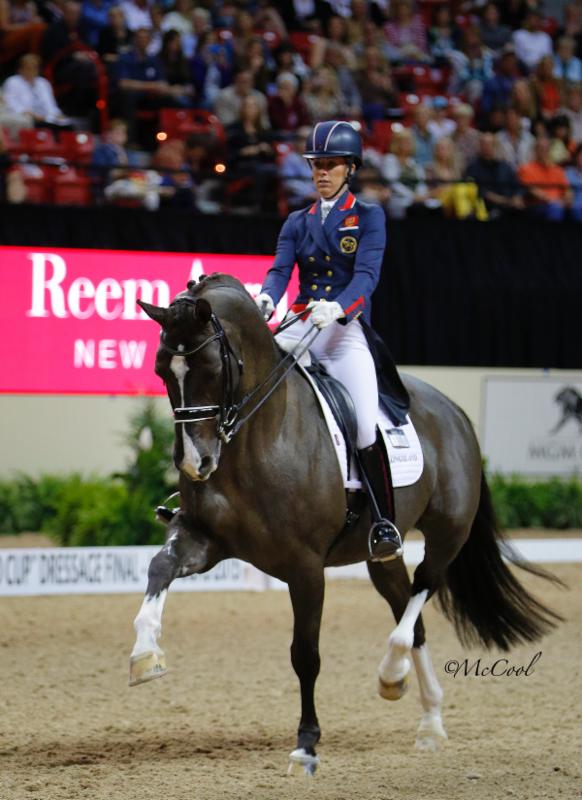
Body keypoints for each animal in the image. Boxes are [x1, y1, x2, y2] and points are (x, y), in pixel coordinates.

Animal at [129, 276, 564, 776]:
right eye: (163, 371)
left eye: (211, 368)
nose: (195, 463)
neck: (257, 437)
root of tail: (455, 412)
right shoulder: (204, 540)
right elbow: (159, 568)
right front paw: (144, 655)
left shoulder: (305, 567)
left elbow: (305, 655)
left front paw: (306, 745)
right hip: (381, 555)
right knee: (411, 614)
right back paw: (430, 722)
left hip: (447, 535)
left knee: (422, 591)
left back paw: (391, 674)